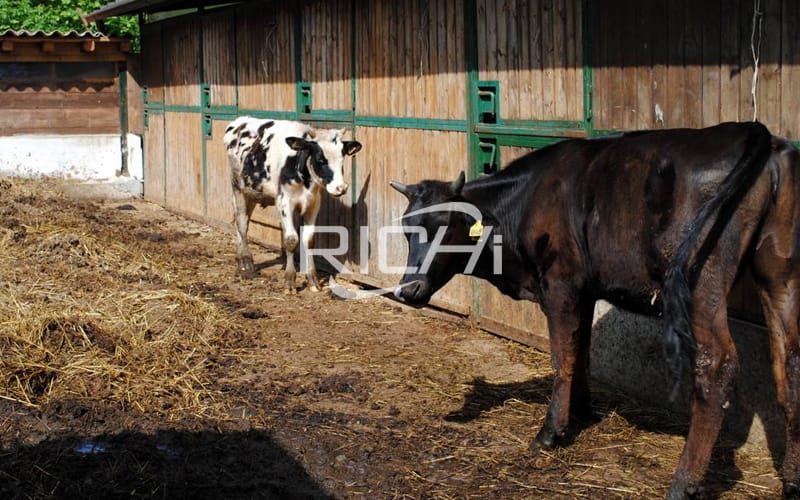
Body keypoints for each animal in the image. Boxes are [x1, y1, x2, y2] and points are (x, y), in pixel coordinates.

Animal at [225, 117, 362, 292]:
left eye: (342, 157)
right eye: (320, 159)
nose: (341, 188)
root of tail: (239, 121)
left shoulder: (313, 203)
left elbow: (309, 240)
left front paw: (312, 280)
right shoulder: (285, 203)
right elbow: (291, 240)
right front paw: (290, 281)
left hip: (252, 193)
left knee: (242, 221)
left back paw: (240, 259)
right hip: (237, 187)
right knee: (242, 222)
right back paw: (246, 265)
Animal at [390, 122, 800, 500]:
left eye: (446, 227)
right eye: (408, 230)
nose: (407, 290)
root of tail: (752, 132)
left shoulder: (560, 283)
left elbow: (562, 357)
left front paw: (551, 432)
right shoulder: (584, 291)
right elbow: (581, 350)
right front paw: (583, 411)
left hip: (702, 280)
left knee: (717, 365)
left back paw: (684, 482)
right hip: (779, 273)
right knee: (789, 362)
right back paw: (792, 480)